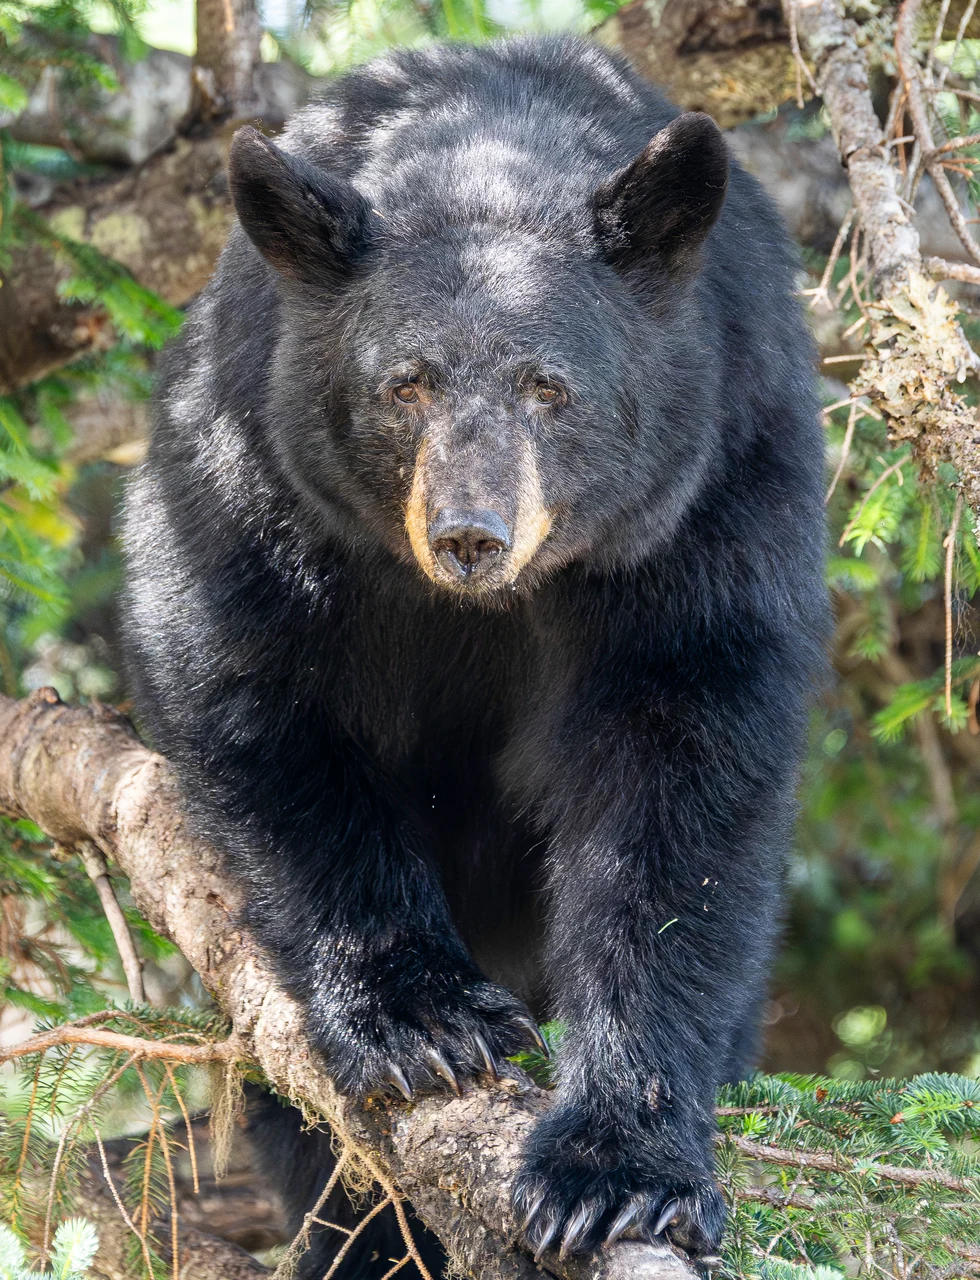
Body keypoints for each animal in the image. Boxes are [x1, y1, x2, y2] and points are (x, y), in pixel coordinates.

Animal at [121, 34, 826, 1271]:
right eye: (404, 382)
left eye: (550, 386)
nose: (468, 535)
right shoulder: (251, 457)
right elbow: (251, 685)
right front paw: (422, 1016)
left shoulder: (716, 488)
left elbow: (681, 766)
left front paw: (619, 1167)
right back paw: (356, 1232)